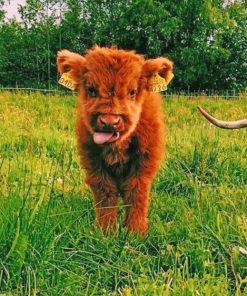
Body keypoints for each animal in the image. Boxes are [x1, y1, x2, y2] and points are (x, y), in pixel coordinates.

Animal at [57, 46, 174, 236]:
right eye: (91, 89)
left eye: (132, 92)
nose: (109, 122)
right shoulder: (94, 163)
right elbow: (105, 193)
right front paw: (105, 232)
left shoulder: (144, 163)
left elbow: (136, 192)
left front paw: (135, 232)